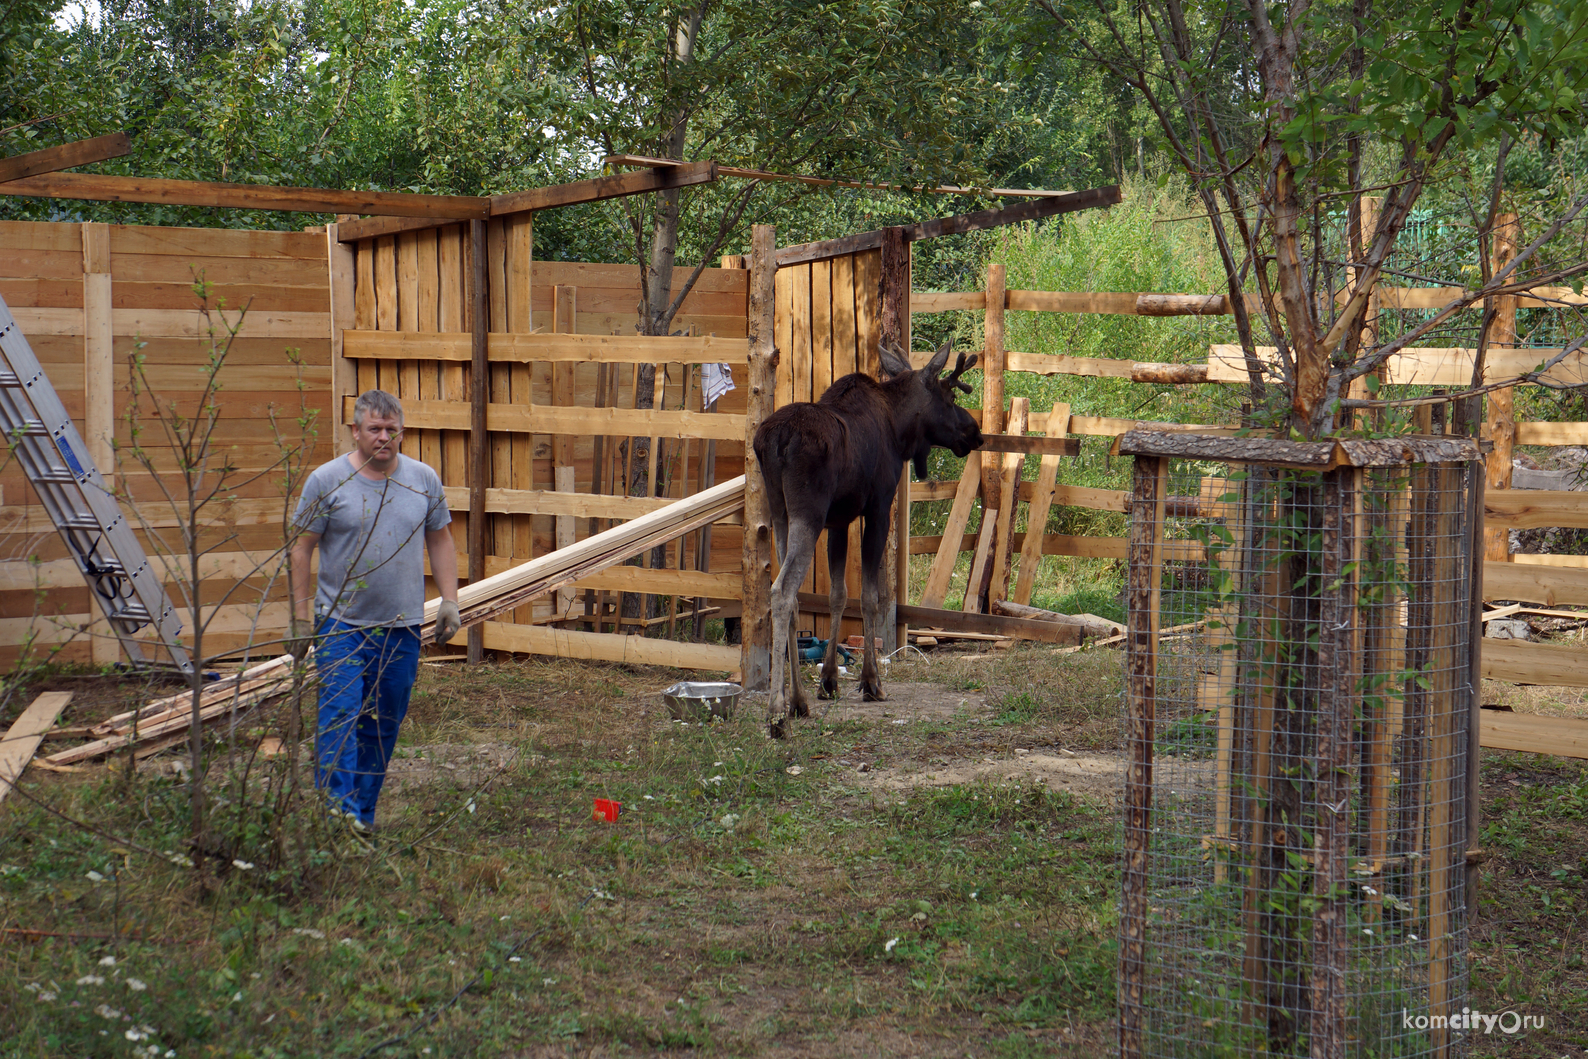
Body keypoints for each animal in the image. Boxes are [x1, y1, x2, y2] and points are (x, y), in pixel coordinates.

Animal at [752, 338, 978, 736]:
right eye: (950, 398)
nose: (975, 431)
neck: (900, 431)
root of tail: (774, 440)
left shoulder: (839, 521)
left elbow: (838, 595)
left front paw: (828, 680)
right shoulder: (877, 509)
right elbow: (871, 597)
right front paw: (872, 682)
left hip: (780, 513)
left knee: (791, 596)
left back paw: (798, 701)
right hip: (808, 512)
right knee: (782, 590)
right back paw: (777, 714)